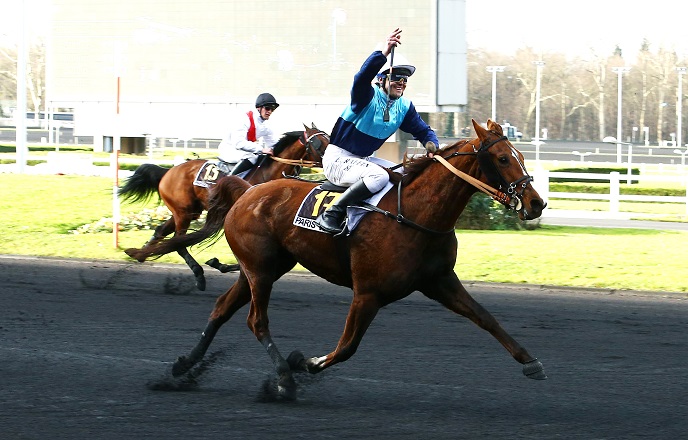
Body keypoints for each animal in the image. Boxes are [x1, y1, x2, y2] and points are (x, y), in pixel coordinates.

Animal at [119, 123, 330, 292]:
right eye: (320, 143)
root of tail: (168, 171)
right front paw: (219, 264)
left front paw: (220, 264)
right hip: (183, 212)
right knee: (179, 241)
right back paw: (198, 274)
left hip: (187, 211)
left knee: (162, 231)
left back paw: (141, 254)